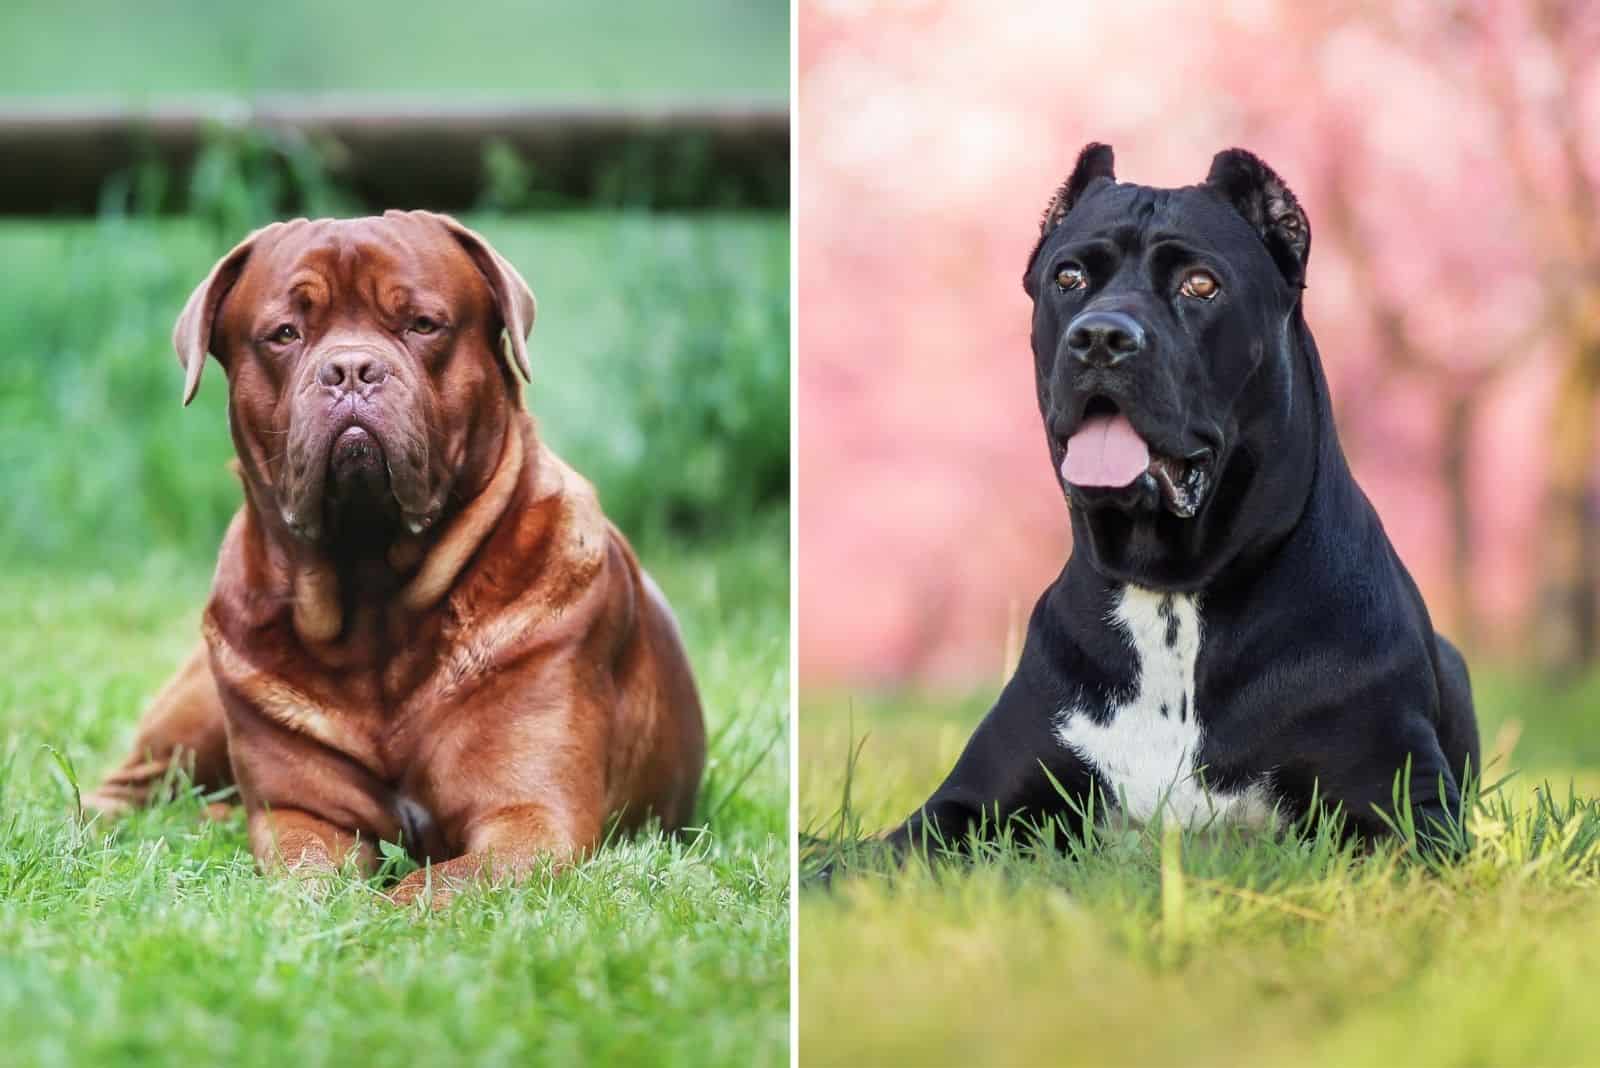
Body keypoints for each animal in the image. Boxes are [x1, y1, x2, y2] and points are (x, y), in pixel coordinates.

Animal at [89, 211, 707, 901]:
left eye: (422, 325)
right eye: (285, 334)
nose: (351, 368)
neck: (375, 601)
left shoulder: (532, 818)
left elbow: (434, 887)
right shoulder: (301, 814)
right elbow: (310, 876)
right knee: (130, 791)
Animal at [883, 143, 1478, 856]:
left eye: (1200, 285)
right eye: (1069, 277)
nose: (1100, 337)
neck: (1172, 593)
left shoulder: (1407, 809)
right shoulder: (964, 805)